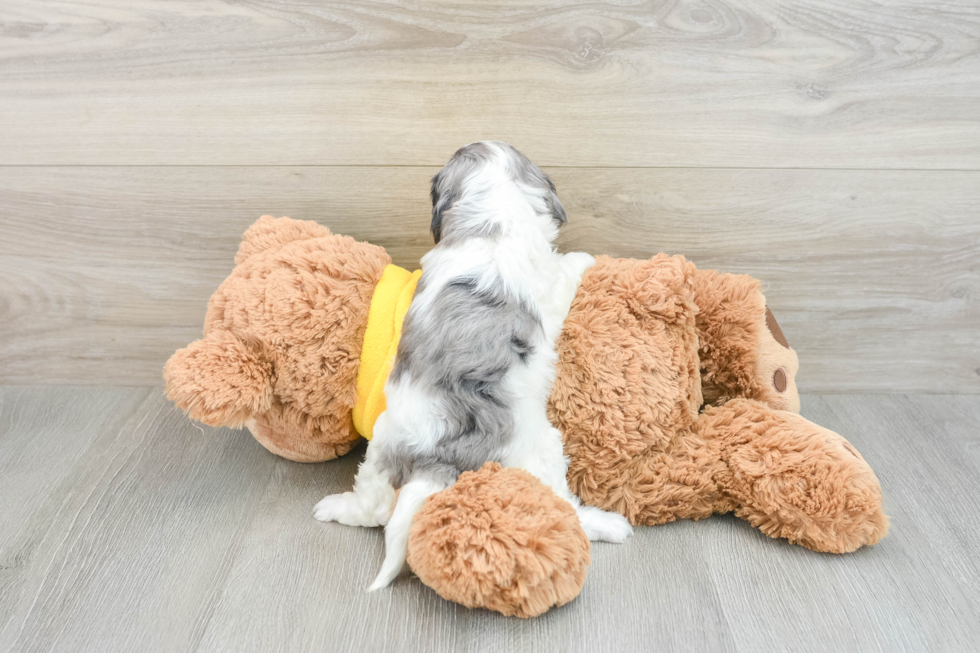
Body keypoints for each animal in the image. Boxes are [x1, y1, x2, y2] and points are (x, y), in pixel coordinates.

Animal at [318, 143, 632, 592]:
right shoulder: (550, 286)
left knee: (374, 508)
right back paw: (607, 524)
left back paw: (335, 507)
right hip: (540, 448)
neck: (490, 221)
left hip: (383, 444)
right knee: (563, 506)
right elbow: (565, 269)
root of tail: (438, 450)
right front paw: (584, 257)